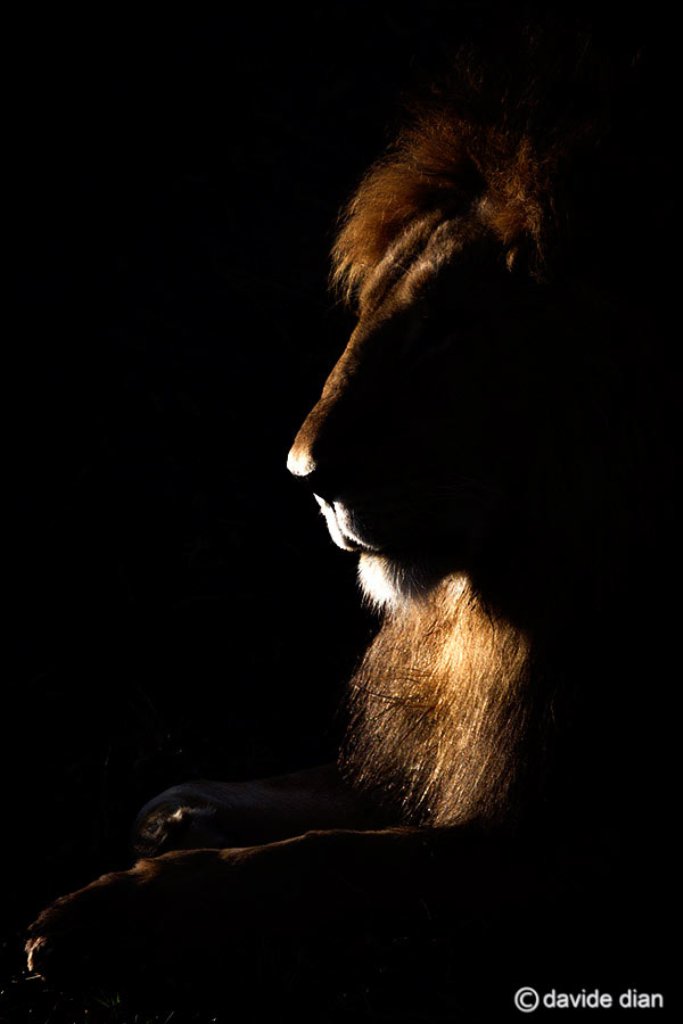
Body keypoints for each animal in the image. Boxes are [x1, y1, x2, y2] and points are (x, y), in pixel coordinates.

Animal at [26, 12, 675, 1010]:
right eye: (372, 309)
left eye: (445, 325)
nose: (306, 476)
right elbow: (339, 781)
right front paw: (183, 811)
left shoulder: (587, 845)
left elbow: (332, 858)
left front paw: (123, 910)